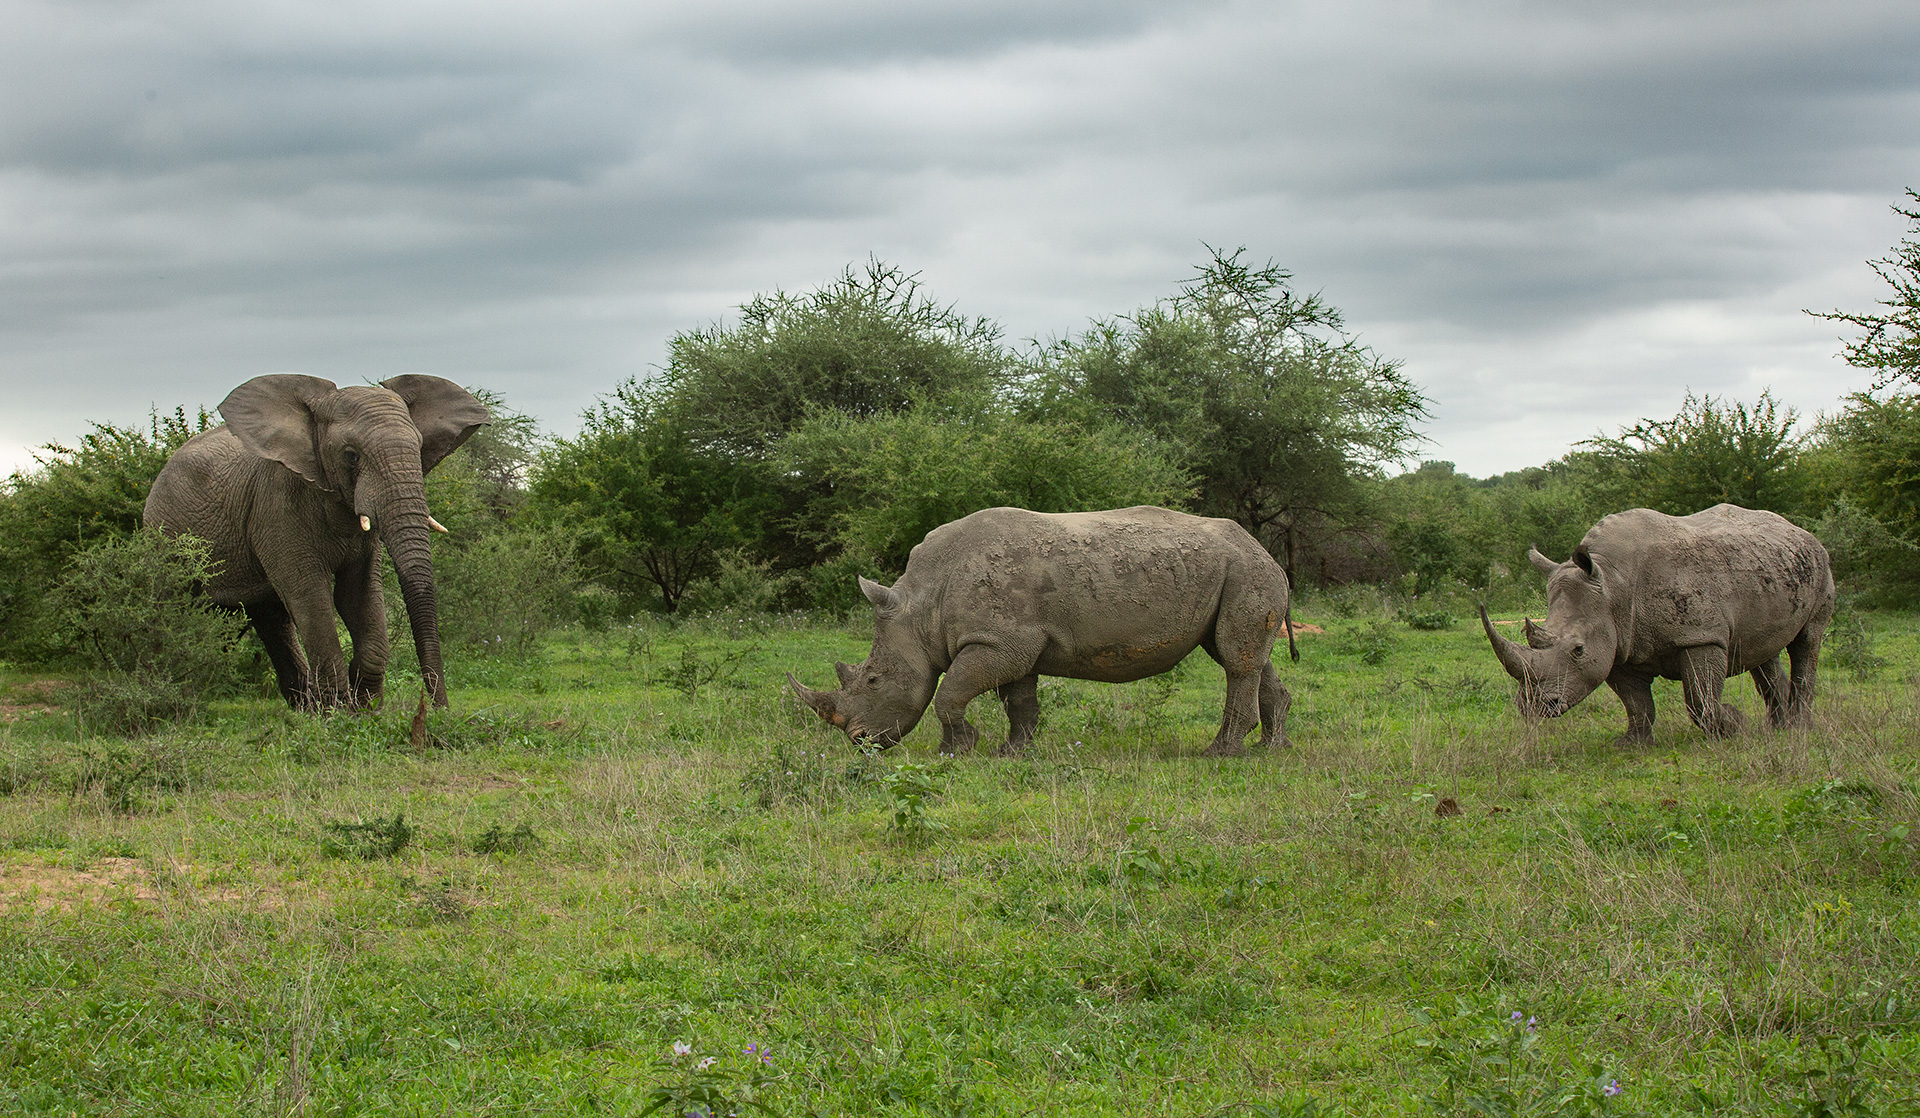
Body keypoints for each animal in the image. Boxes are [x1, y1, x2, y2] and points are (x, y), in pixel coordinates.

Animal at [144, 374, 489, 710]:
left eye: (418, 449)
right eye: (351, 456)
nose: (439, 710)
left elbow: (357, 596)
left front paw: (364, 710)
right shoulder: (277, 505)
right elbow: (310, 595)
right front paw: (337, 714)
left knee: (272, 620)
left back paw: (303, 711)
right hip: (163, 535)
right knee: (173, 611)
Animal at [789, 506, 1296, 756]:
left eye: (874, 680)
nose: (859, 743)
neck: (920, 607)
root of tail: (1265, 551)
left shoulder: (999, 640)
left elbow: (949, 693)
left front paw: (957, 751)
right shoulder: (1016, 642)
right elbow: (1019, 700)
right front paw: (1013, 752)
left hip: (1244, 570)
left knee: (1235, 659)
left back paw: (1219, 753)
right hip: (1237, 571)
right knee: (1244, 656)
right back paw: (1273, 748)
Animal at [1480, 504, 1834, 744]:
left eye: (1578, 650)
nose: (1534, 707)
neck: (1613, 584)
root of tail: (1800, 530)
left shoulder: (1700, 635)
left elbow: (1700, 698)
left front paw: (1733, 724)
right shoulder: (1618, 644)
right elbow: (1636, 704)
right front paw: (1631, 744)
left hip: (1819, 564)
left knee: (1807, 641)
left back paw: (1798, 729)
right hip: (1769, 566)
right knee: (1763, 649)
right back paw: (1778, 729)